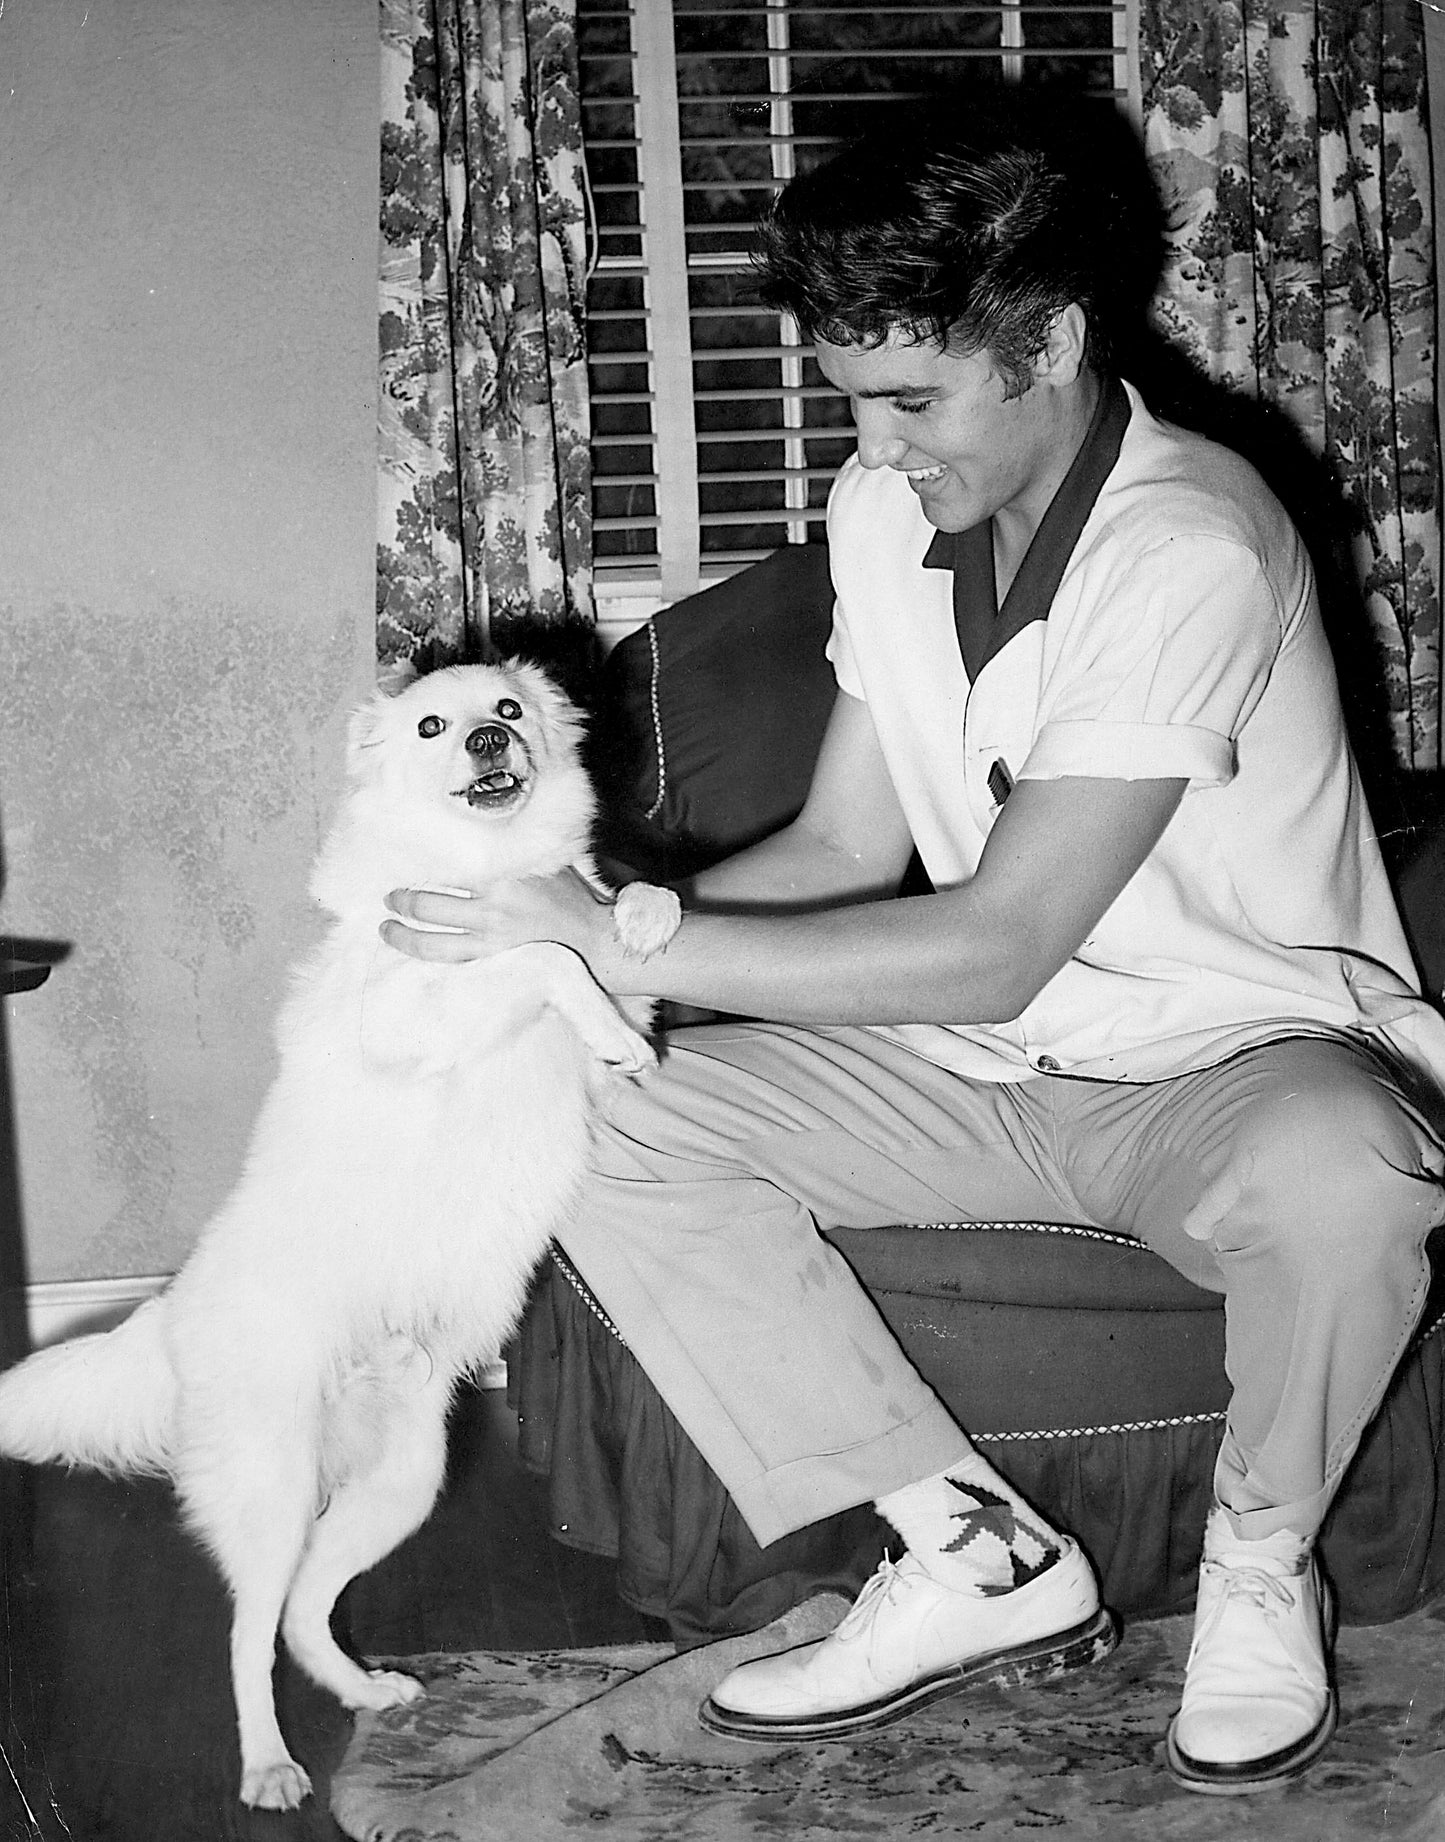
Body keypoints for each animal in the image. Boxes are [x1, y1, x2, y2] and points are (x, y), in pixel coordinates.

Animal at [0, 655, 681, 1805]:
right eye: (431, 726)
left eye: (508, 710)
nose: (489, 744)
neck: (482, 867)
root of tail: (170, 1314)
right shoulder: (415, 1018)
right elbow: (539, 963)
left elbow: (608, 933)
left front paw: (641, 918)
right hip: (273, 1489)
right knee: (246, 1635)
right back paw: (269, 1767)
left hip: (398, 1488)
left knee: (305, 1614)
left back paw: (367, 1695)